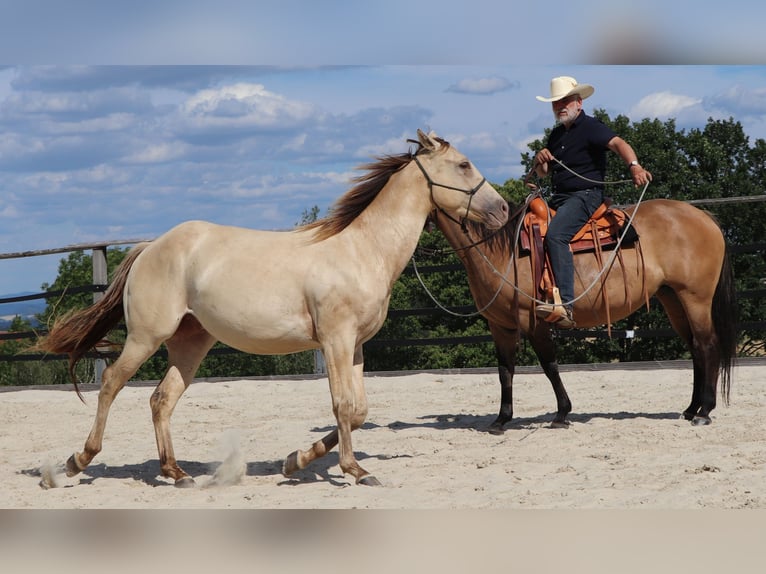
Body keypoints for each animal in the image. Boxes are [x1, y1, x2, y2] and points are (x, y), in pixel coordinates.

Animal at [34, 130, 509, 487]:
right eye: (464, 165)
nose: (503, 209)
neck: (362, 249)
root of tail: (151, 247)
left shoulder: (355, 346)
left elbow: (358, 411)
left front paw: (294, 461)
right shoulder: (334, 341)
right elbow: (342, 407)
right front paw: (355, 471)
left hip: (191, 342)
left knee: (161, 399)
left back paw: (176, 473)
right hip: (147, 336)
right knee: (111, 383)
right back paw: (77, 462)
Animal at [431, 194, 737, 432]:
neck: (500, 248)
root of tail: (705, 217)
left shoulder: (532, 321)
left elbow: (549, 366)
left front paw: (562, 413)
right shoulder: (500, 325)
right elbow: (505, 371)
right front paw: (501, 420)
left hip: (695, 298)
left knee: (707, 345)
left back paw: (704, 411)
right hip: (673, 298)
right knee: (695, 349)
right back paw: (691, 408)